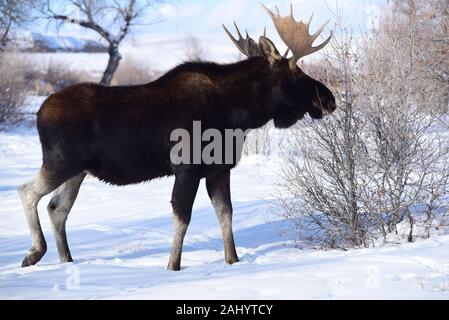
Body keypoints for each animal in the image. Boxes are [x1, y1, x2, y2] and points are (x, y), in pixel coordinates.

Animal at [18, 5, 336, 270]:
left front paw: (232, 260)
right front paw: (173, 266)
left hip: (79, 171)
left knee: (57, 208)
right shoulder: (187, 169)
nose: (329, 99)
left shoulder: (219, 170)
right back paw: (34, 252)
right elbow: (182, 218)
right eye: (298, 73)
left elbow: (225, 214)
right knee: (27, 191)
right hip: (61, 162)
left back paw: (66, 260)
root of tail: (39, 112)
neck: (240, 114)